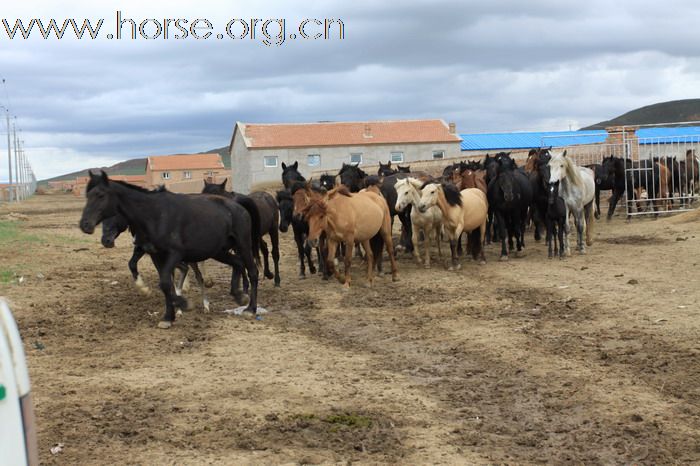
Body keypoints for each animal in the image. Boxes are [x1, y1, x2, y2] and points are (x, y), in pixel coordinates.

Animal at [77, 171, 262, 328]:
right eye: (88, 195)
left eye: (100, 195)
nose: (85, 225)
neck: (155, 215)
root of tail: (238, 205)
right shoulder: (156, 256)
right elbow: (166, 284)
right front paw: (168, 317)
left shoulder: (174, 254)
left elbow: (166, 282)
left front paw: (183, 304)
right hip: (219, 251)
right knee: (238, 264)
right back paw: (239, 295)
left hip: (243, 245)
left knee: (252, 271)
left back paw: (250, 309)